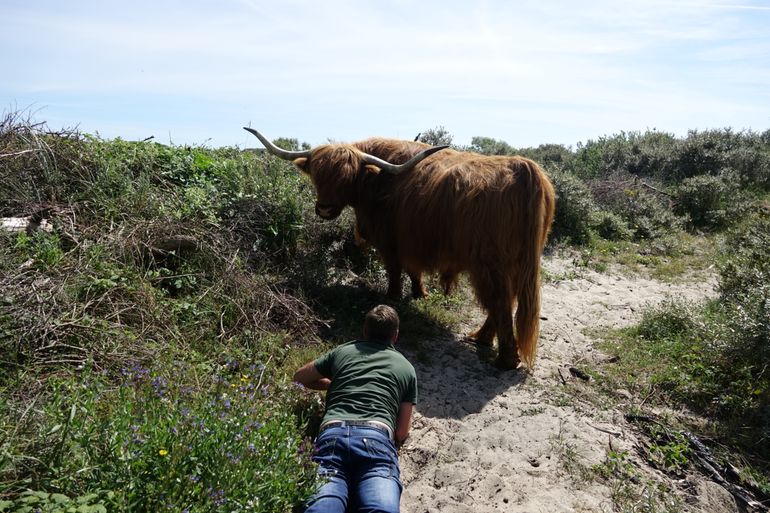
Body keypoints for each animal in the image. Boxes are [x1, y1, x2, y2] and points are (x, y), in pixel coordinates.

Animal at [246, 127, 552, 368]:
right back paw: (482, 338)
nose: (324, 209)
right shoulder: (410, 241)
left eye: (346, 178)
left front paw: (392, 296)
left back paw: (505, 359)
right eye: (317, 176)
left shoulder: (389, 239)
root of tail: (524, 168)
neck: (376, 182)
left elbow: (394, 269)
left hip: (490, 264)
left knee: (500, 302)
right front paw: (419, 294)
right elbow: (413, 270)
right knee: (505, 302)